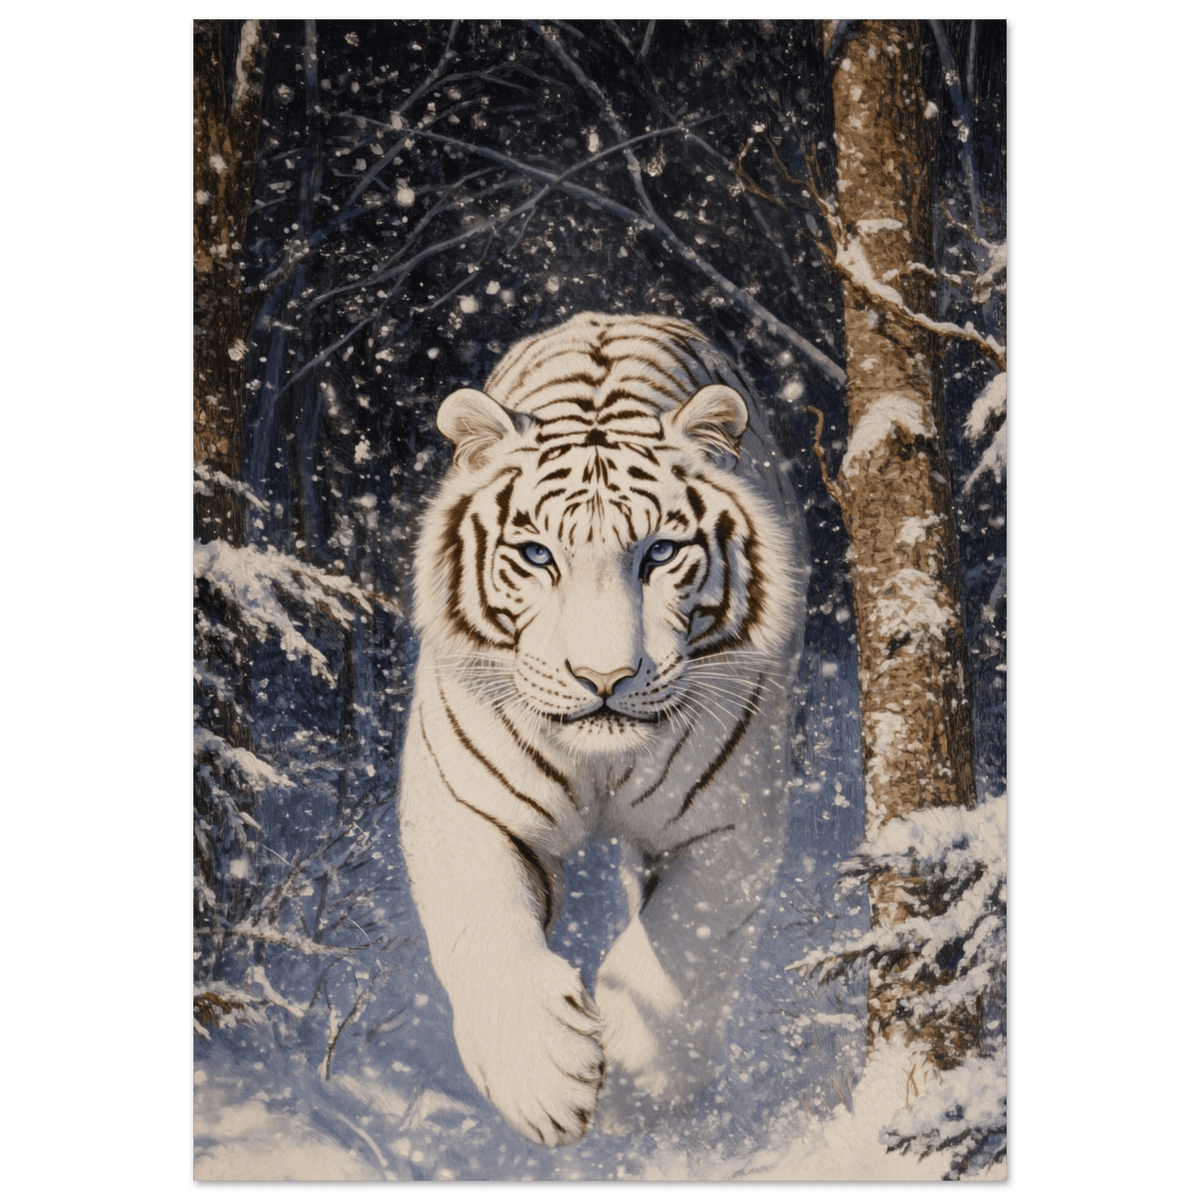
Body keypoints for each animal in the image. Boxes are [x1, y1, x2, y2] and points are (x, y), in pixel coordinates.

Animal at [399, 312, 809, 1146]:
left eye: (660, 552)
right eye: (535, 555)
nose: (603, 680)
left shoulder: (729, 822)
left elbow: (681, 948)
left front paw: (639, 1088)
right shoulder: (462, 805)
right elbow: (482, 926)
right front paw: (541, 1078)